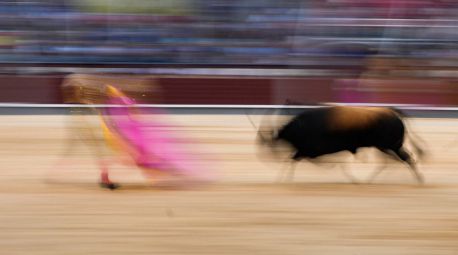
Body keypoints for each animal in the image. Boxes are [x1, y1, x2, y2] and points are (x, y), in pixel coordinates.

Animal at [258, 105, 426, 183]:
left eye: (270, 144)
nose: (267, 158)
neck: (301, 127)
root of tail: (393, 113)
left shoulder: (308, 150)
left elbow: (291, 160)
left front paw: (282, 179)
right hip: (386, 147)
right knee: (393, 161)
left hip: (391, 146)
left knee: (405, 159)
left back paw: (418, 180)